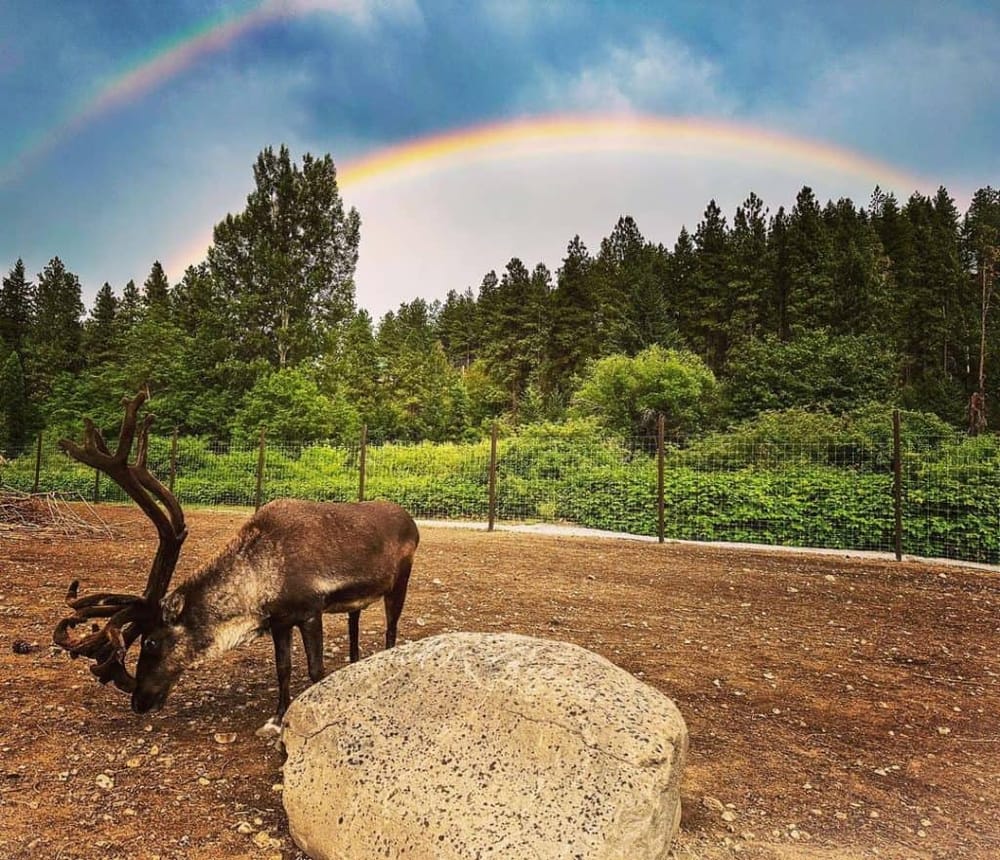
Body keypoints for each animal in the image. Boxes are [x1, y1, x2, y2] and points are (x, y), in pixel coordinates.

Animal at [53, 390, 419, 736]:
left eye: (151, 641)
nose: (138, 700)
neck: (259, 576)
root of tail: (410, 520)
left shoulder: (310, 611)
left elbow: (315, 670)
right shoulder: (280, 621)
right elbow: (283, 668)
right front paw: (276, 718)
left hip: (399, 583)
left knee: (391, 630)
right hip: (357, 601)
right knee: (356, 624)